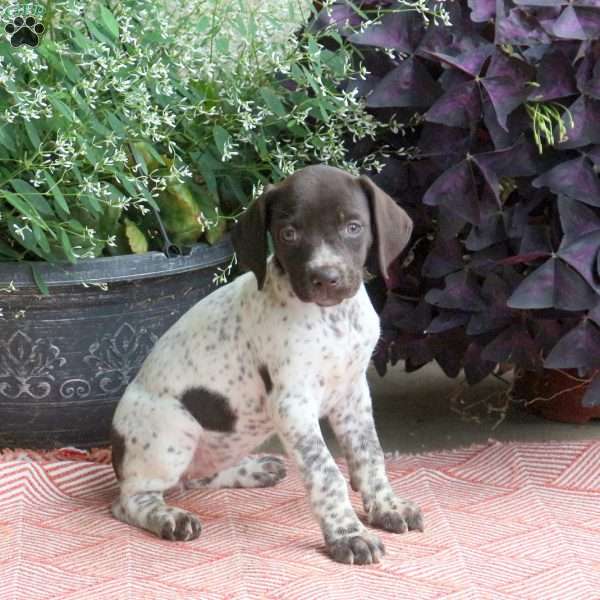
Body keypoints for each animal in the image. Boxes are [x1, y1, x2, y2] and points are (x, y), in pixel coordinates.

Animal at [111, 163, 422, 564]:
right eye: (289, 234)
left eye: (353, 227)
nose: (325, 278)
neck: (332, 319)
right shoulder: (293, 405)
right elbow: (327, 472)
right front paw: (348, 535)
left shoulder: (352, 394)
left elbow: (369, 455)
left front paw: (387, 507)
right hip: (172, 434)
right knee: (131, 500)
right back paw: (170, 518)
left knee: (196, 477)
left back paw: (252, 470)